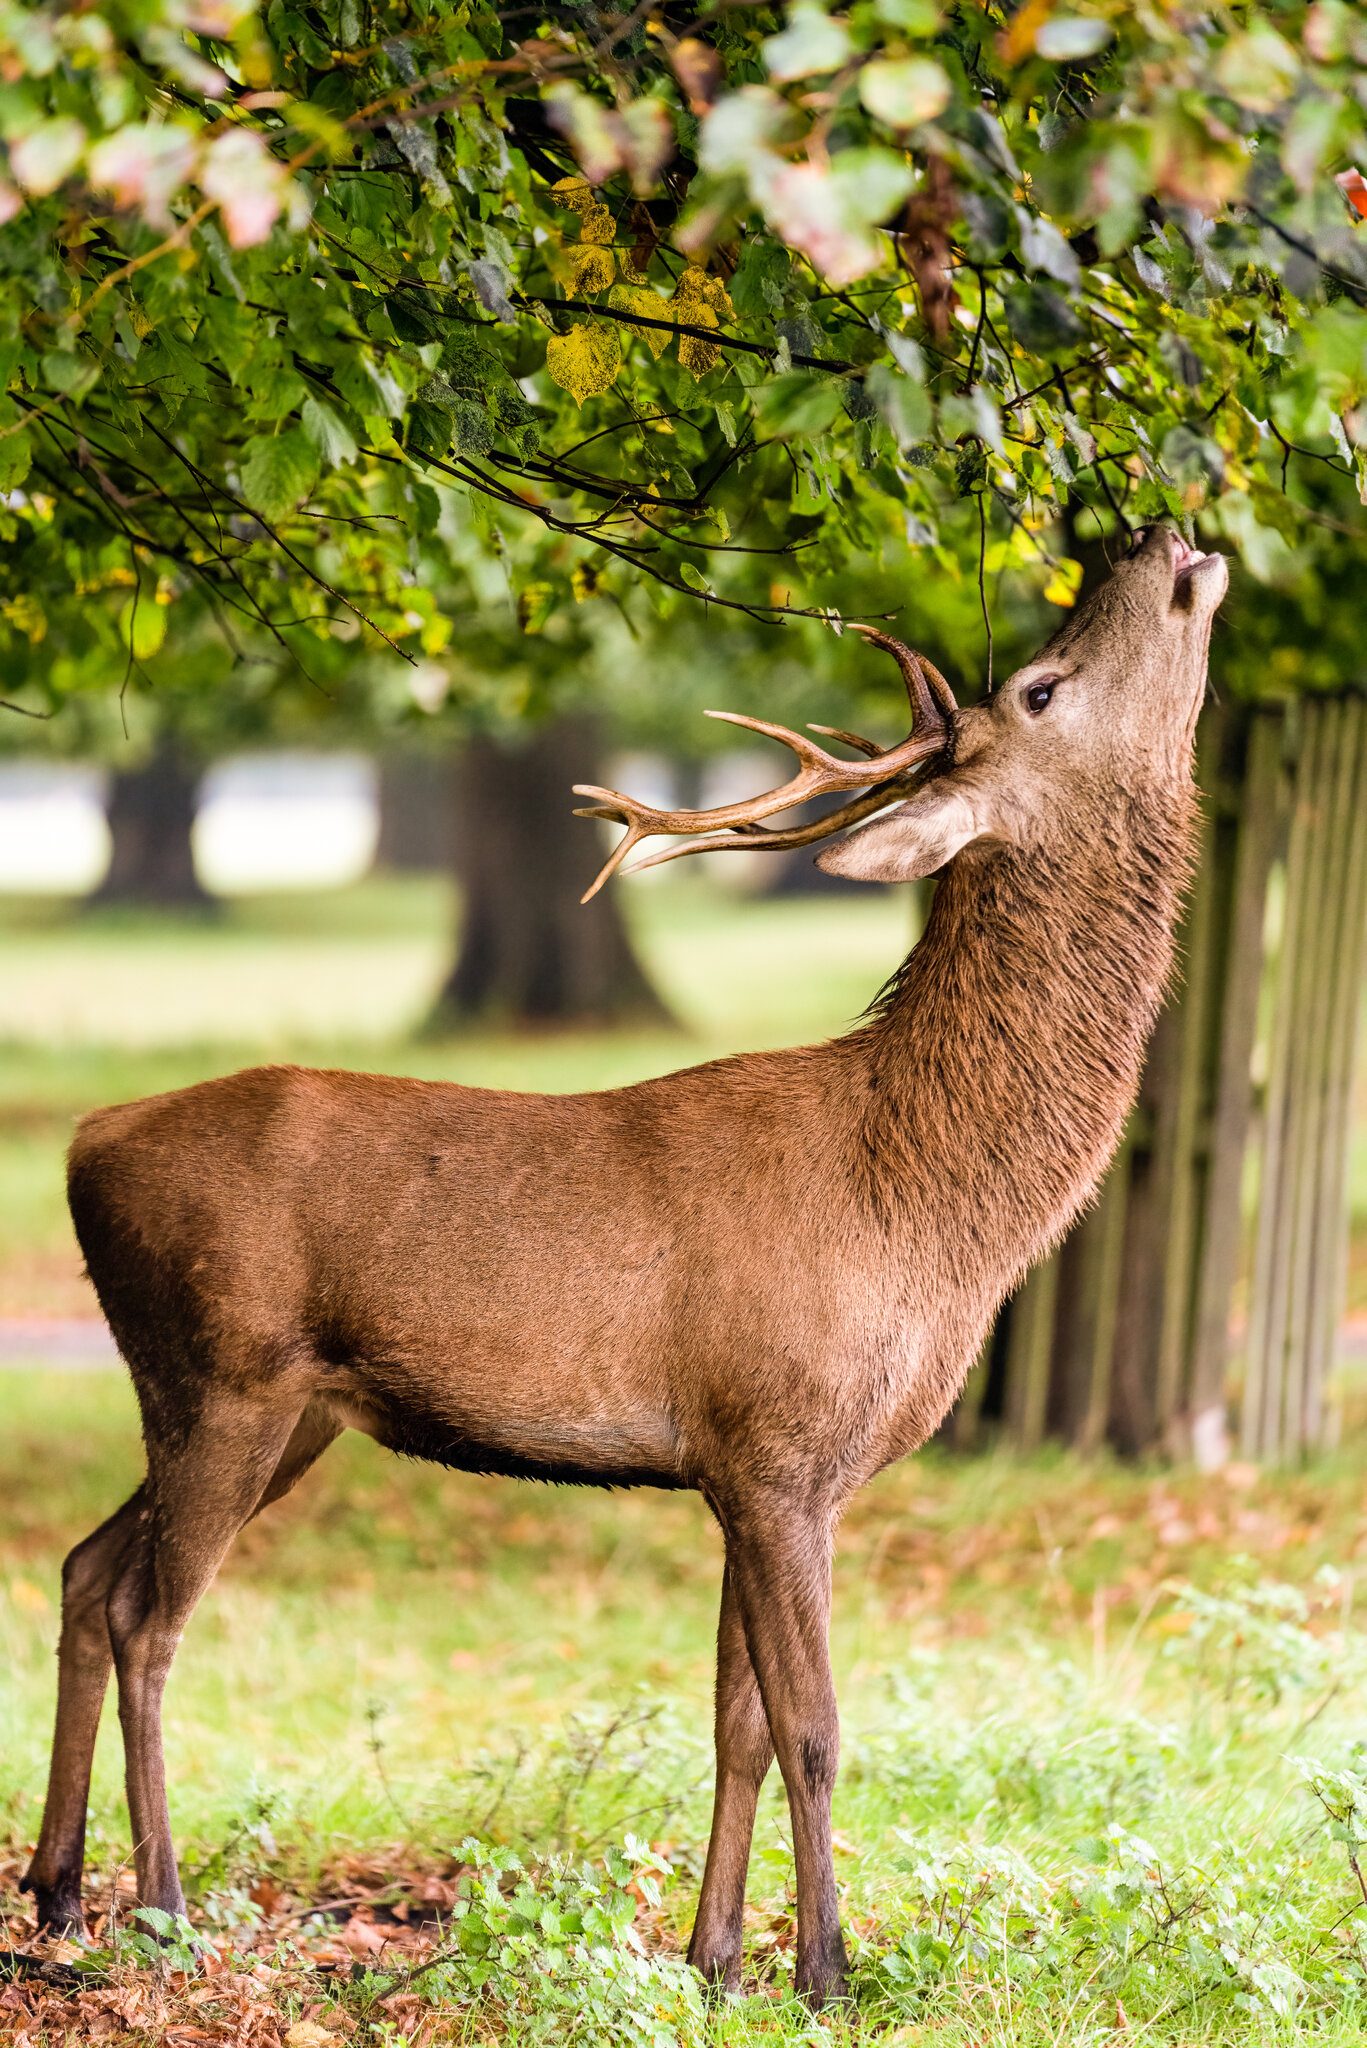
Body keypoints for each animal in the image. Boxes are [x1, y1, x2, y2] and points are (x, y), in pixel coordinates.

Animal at [24, 524, 1229, 1998]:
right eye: (1042, 687)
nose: (1156, 538)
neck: (925, 1209)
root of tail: (85, 1145)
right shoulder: (776, 1440)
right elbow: (817, 1726)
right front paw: (826, 1969)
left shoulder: (756, 1466)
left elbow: (738, 1723)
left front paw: (713, 1960)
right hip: (223, 1372)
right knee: (149, 1613)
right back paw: (162, 1901)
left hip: (262, 1406)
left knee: (85, 1568)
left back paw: (58, 1890)